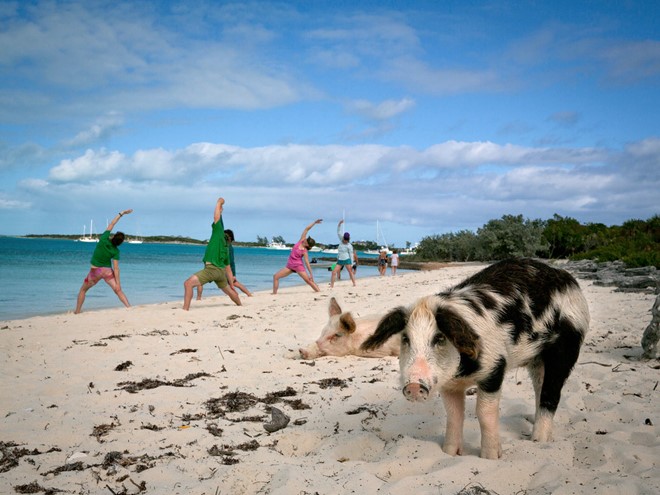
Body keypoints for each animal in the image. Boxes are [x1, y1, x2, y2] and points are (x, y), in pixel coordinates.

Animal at [360, 260, 588, 462]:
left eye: (439, 338)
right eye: (406, 339)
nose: (414, 385)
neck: (463, 373)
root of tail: (569, 280)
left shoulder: (495, 368)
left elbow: (484, 413)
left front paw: (491, 457)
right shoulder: (449, 384)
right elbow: (454, 415)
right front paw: (450, 453)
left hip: (565, 348)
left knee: (552, 394)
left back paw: (538, 441)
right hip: (536, 360)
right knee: (540, 388)